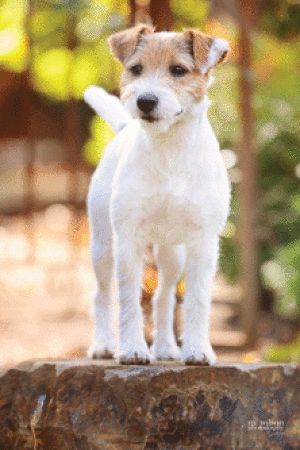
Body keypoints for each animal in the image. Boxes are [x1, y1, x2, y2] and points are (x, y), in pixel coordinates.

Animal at [83, 24, 231, 366]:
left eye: (178, 70)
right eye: (136, 69)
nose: (146, 101)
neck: (169, 149)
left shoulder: (203, 242)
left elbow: (197, 300)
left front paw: (197, 350)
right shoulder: (127, 239)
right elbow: (128, 299)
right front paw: (132, 350)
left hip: (172, 253)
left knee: (164, 298)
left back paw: (165, 348)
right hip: (103, 246)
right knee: (102, 295)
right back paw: (103, 345)